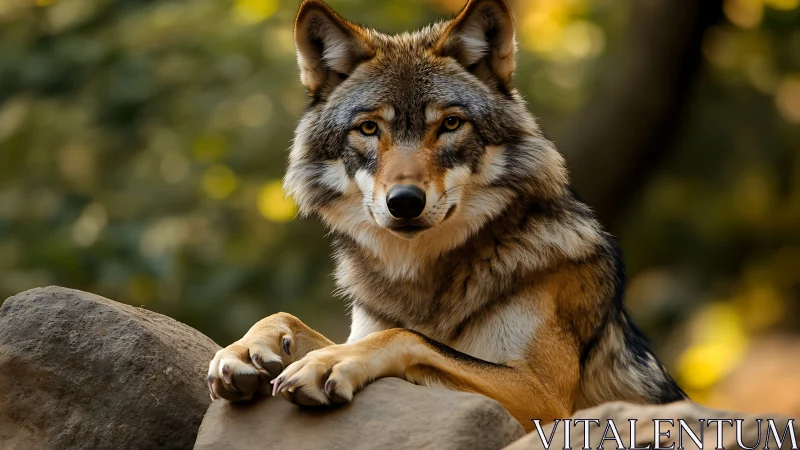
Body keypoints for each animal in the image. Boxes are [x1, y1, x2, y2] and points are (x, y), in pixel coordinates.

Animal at [206, 0, 686, 431]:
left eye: (451, 124)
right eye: (368, 128)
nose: (404, 201)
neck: (425, 283)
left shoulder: (544, 396)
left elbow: (408, 337)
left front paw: (329, 362)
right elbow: (287, 316)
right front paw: (245, 350)